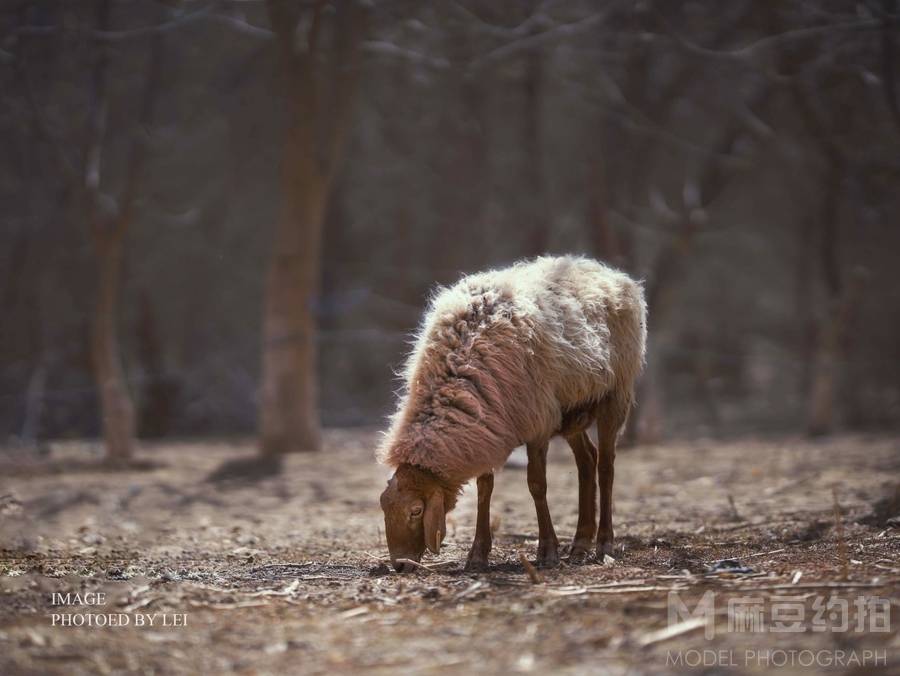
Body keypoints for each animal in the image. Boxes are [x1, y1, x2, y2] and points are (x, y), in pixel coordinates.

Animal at [376, 256, 644, 572]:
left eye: (416, 511)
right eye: (384, 505)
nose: (400, 564)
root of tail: (607, 271)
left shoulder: (537, 424)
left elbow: (537, 485)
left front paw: (548, 551)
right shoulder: (488, 425)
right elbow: (484, 489)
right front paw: (478, 555)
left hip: (615, 394)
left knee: (606, 467)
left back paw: (603, 545)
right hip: (570, 414)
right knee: (588, 461)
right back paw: (579, 545)